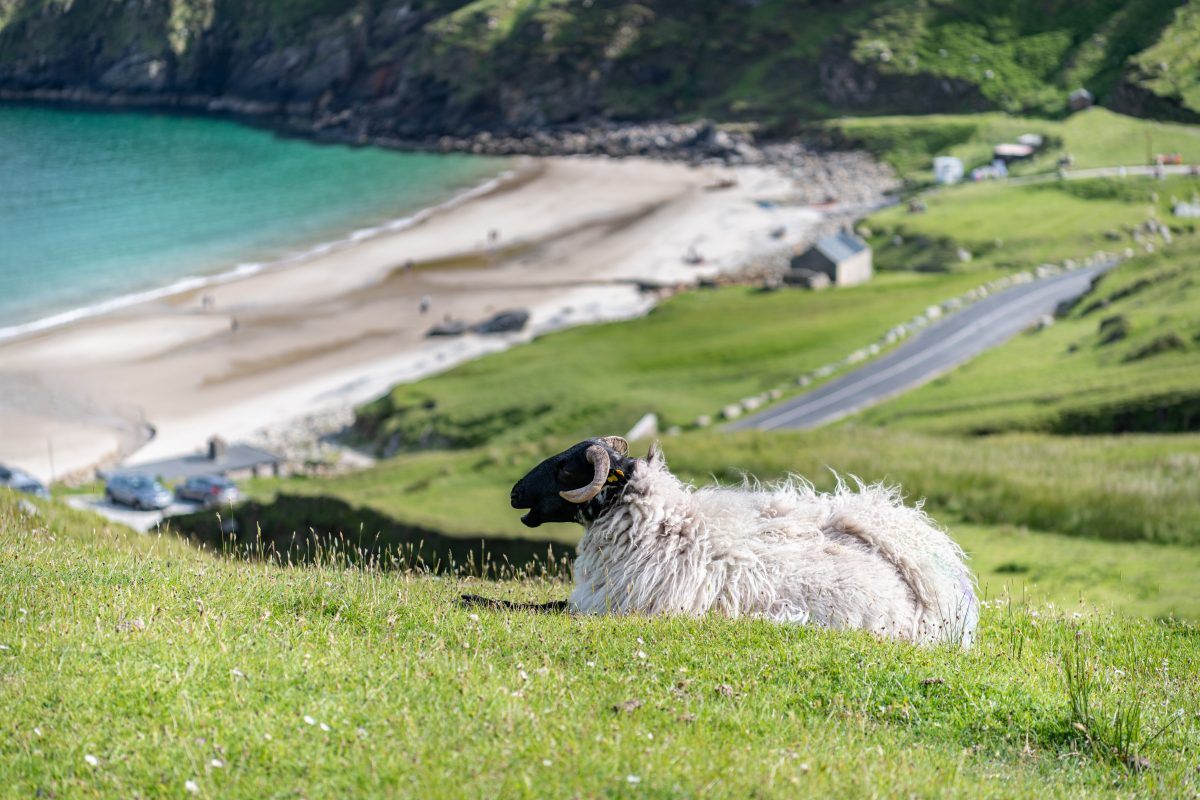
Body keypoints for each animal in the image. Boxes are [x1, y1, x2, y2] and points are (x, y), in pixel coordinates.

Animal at [472, 434, 979, 647]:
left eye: (565, 468)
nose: (514, 492)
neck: (659, 524)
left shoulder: (609, 607)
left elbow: (540, 606)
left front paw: (473, 597)